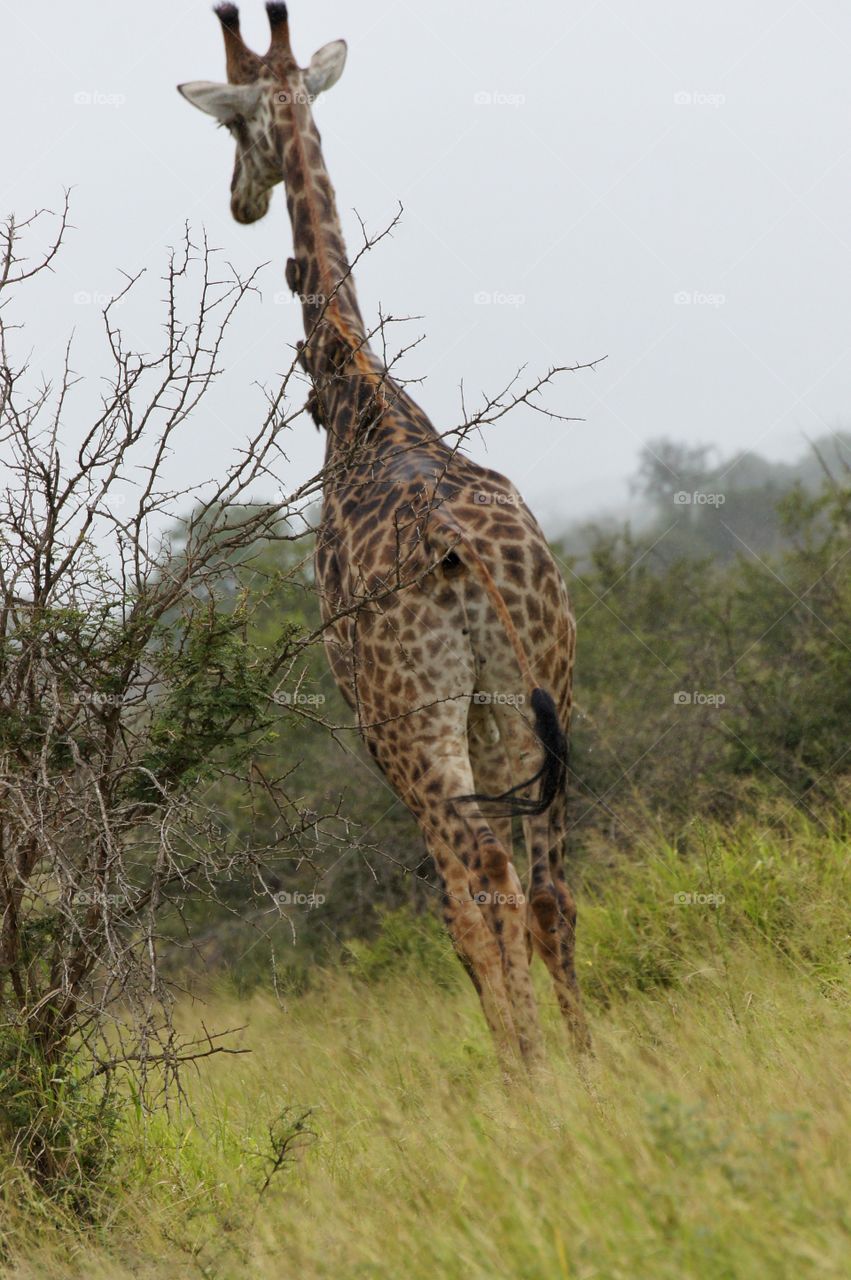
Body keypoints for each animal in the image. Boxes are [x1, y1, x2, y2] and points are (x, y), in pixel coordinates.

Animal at [179, 2, 588, 1070]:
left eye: (230, 125)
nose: (239, 202)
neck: (361, 399)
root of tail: (470, 555)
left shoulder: (376, 730)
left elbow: (458, 907)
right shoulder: (494, 716)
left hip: (418, 723)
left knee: (479, 887)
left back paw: (525, 1079)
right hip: (540, 688)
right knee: (551, 886)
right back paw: (584, 1067)